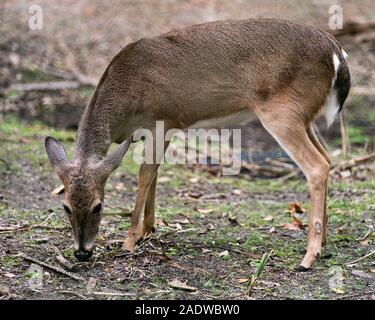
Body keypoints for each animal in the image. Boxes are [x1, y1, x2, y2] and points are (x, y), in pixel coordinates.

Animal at [45, 18, 352, 270]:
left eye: (98, 206)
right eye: (66, 206)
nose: (82, 252)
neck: (126, 96)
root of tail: (337, 51)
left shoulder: (163, 120)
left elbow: (144, 175)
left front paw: (130, 241)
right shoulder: (152, 131)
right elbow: (153, 175)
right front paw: (147, 229)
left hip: (281, 113)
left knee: (316, 166)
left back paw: (308, 256)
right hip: (304, 116)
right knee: (328, 158)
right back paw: (324, 242)